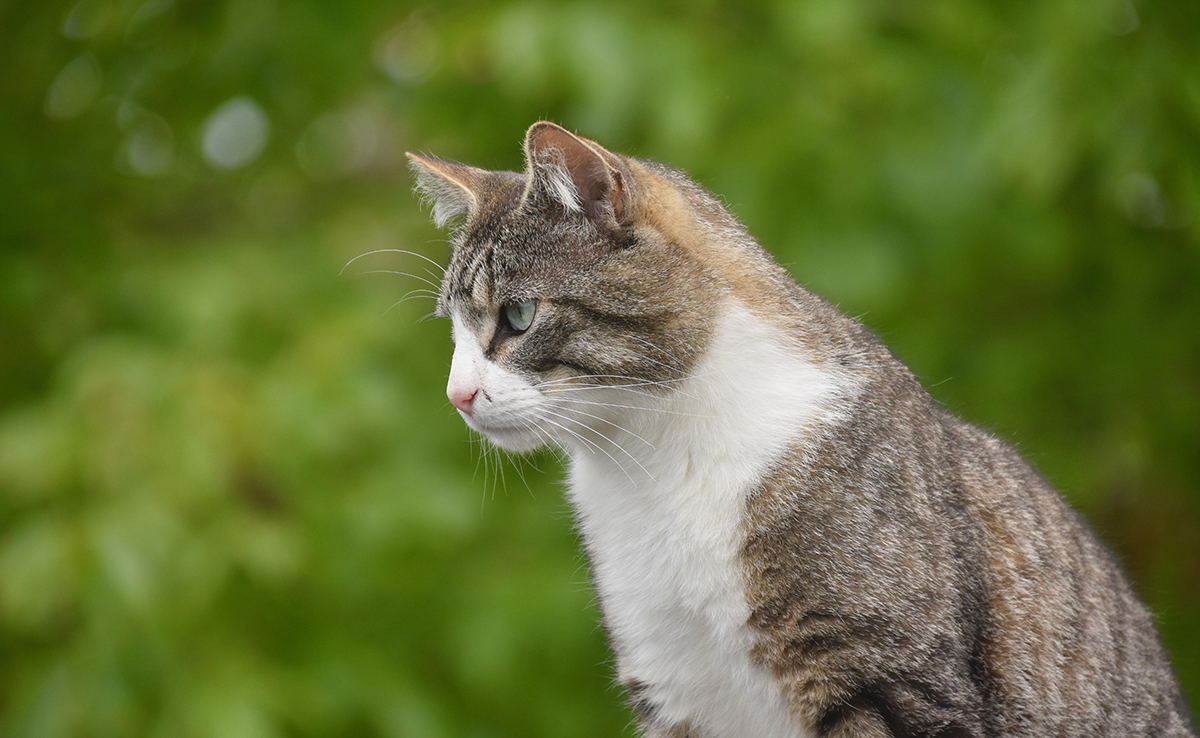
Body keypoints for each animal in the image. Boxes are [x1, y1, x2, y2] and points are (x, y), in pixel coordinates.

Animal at [403, 121, 1190, 738]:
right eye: (454, 332)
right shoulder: (676, 688)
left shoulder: (887, 676)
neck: (655, 465)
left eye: (518, 316)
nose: (455, 394)